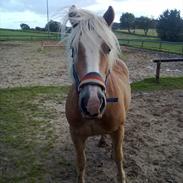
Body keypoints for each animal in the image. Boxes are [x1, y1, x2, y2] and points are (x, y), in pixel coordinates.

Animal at [63, 5, 131, 182]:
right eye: (73, 49)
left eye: (108, 48)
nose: (92, 103)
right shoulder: (75, 134)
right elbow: (81, 162)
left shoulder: (119, 129)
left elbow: (119, 157)